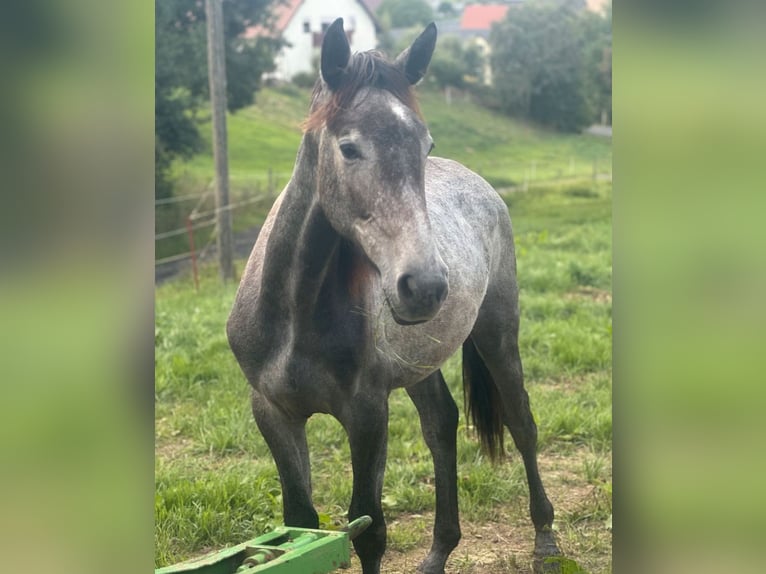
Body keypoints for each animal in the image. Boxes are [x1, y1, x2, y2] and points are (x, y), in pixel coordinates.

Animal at [227, 18, 560, 574]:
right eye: (349, 147)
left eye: (424, 144)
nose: (424, 285)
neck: (295, 313)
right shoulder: (273, 412)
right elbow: (301, 523)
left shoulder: (367, 414)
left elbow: (369, 528)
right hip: (420, 363)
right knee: (441, 425)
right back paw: (439, 551)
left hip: (497, 334)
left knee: (521, 422)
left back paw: (546, 538)